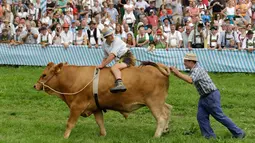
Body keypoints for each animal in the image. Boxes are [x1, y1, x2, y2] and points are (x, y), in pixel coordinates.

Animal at [33, 61, 172, 139]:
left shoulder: (76, 106)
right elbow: (100, 122)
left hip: (154, 102)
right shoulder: (96, 107)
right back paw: (165, 130)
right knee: (168, 109)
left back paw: (156, 136)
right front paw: (103, 135)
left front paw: (65, 137)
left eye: (44, 75)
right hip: (159, 102)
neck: (74, 77)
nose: (35, 85)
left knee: (161, 117)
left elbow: (70, 123)